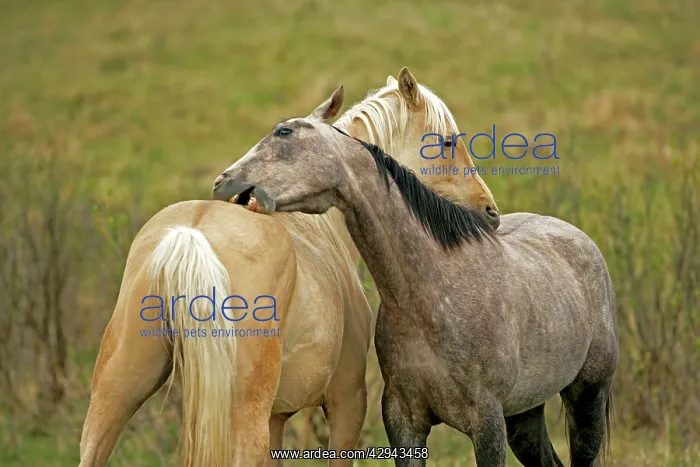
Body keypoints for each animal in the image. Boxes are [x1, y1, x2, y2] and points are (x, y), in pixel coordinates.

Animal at [78, 69, 500, 467]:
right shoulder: (348, 402)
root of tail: (192, 232)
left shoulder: (276, 419)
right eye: (447, 142)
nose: (489, 210)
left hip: (113, 397)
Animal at [212, 87, 619, 467]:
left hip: (586, 399)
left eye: (283, 132)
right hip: (525, 415)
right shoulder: (404, 422)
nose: (222, 183)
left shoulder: (487, 425)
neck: (432, 297)